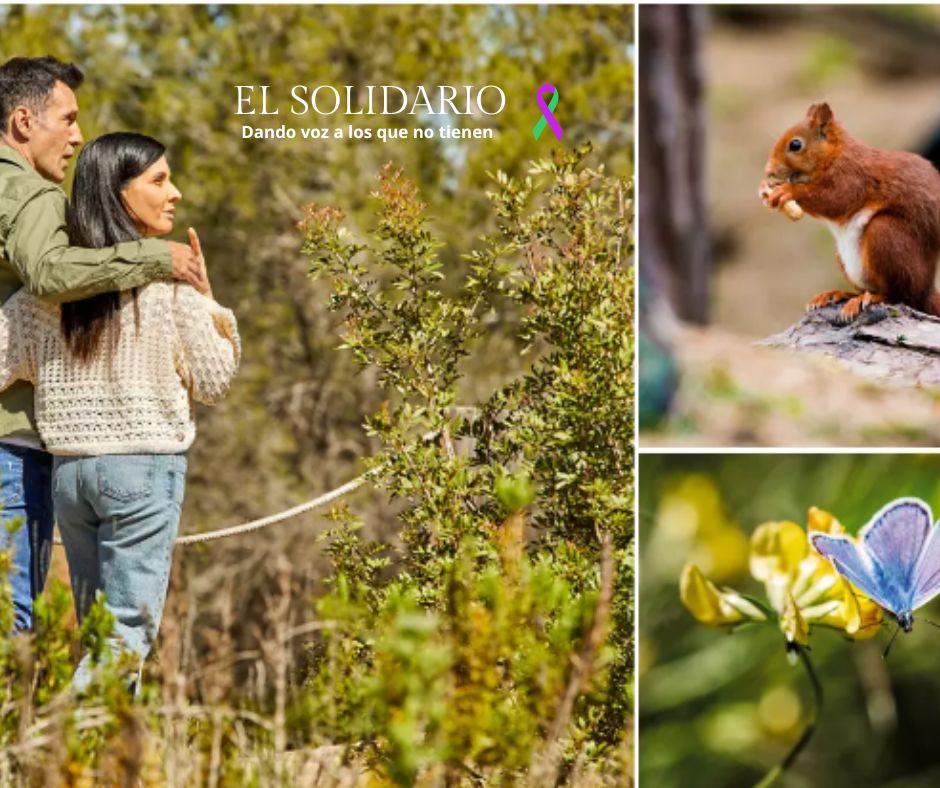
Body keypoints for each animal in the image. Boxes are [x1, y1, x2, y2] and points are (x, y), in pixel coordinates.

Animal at [756, 103, 940, 322]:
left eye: (795, 145)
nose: (768, 171)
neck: (834, 154)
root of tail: (927, 289)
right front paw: (765, 190)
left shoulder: (853, 177)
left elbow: (835, 200)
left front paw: (788, 191)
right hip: (843, 258)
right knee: (866, 289)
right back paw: (837, 294)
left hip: (886, 236)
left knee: (901, 296)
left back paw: (870, 299)